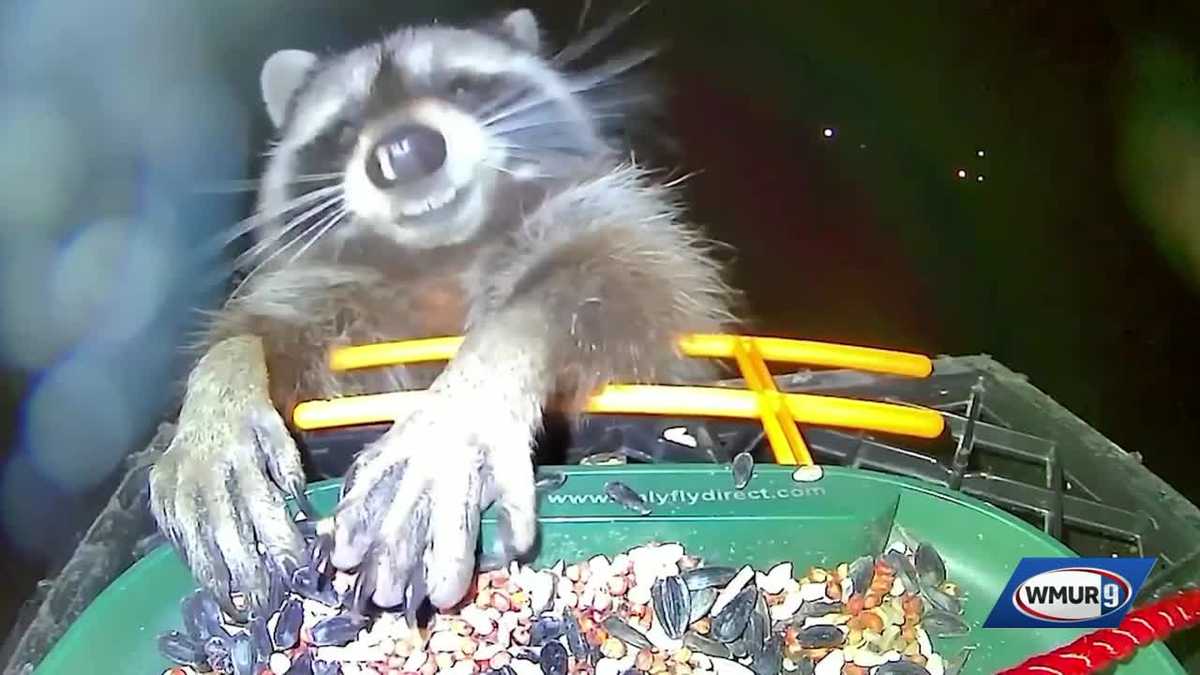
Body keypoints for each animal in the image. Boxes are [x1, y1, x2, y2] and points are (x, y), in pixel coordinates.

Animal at [148, 8, 737, 617]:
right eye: (344, 128)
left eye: (459, 87)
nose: (403, 151)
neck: (442, 256)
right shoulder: (324, 291)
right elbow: (260, 336)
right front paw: (222, 390)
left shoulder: (624, 235)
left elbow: (613, 293)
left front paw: (469, 393)